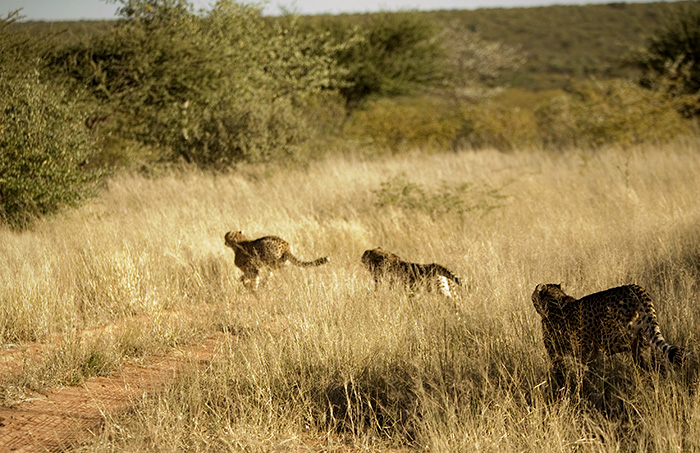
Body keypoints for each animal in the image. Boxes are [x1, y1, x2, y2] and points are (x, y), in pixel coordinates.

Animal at [532, 284, 688, 380]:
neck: (555, 300)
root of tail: (631, 286)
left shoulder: (556, 353)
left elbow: (560, 371)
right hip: (645, 327)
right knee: (648, 347)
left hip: (609, 335)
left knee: (627, 343)